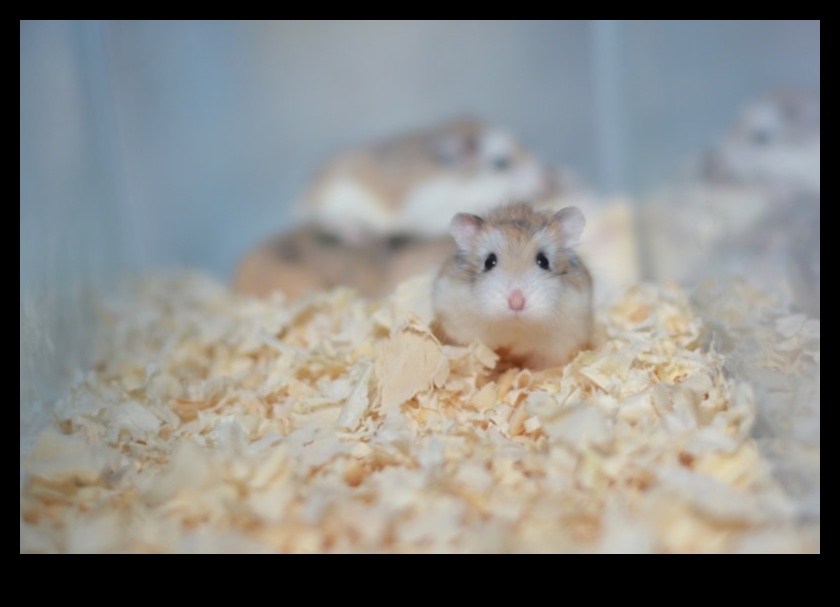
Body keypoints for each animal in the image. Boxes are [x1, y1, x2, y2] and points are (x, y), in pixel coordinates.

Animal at [297, 117, 558, 244]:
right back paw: (358, 235)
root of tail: (304, 200)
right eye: (502, 164)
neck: (470, 183)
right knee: (331, 223)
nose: (546, 183)